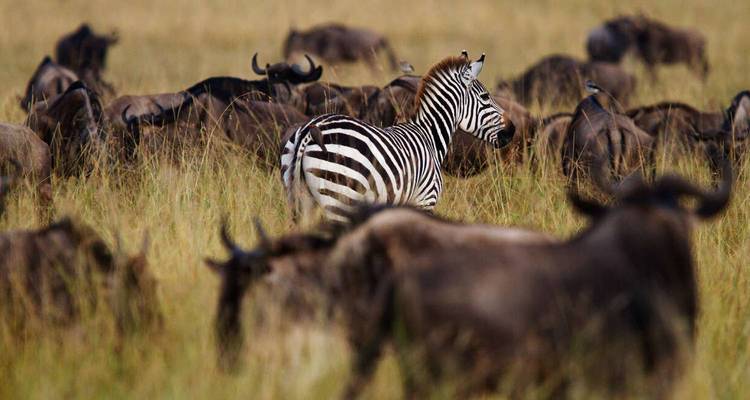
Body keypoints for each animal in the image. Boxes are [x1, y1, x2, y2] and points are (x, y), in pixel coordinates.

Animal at [280, 52, 515, 222]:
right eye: (485, 97)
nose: (512, 130)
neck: (430, 136)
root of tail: (310, 129)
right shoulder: (424, 200)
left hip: (303, 198)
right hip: (340, 198)